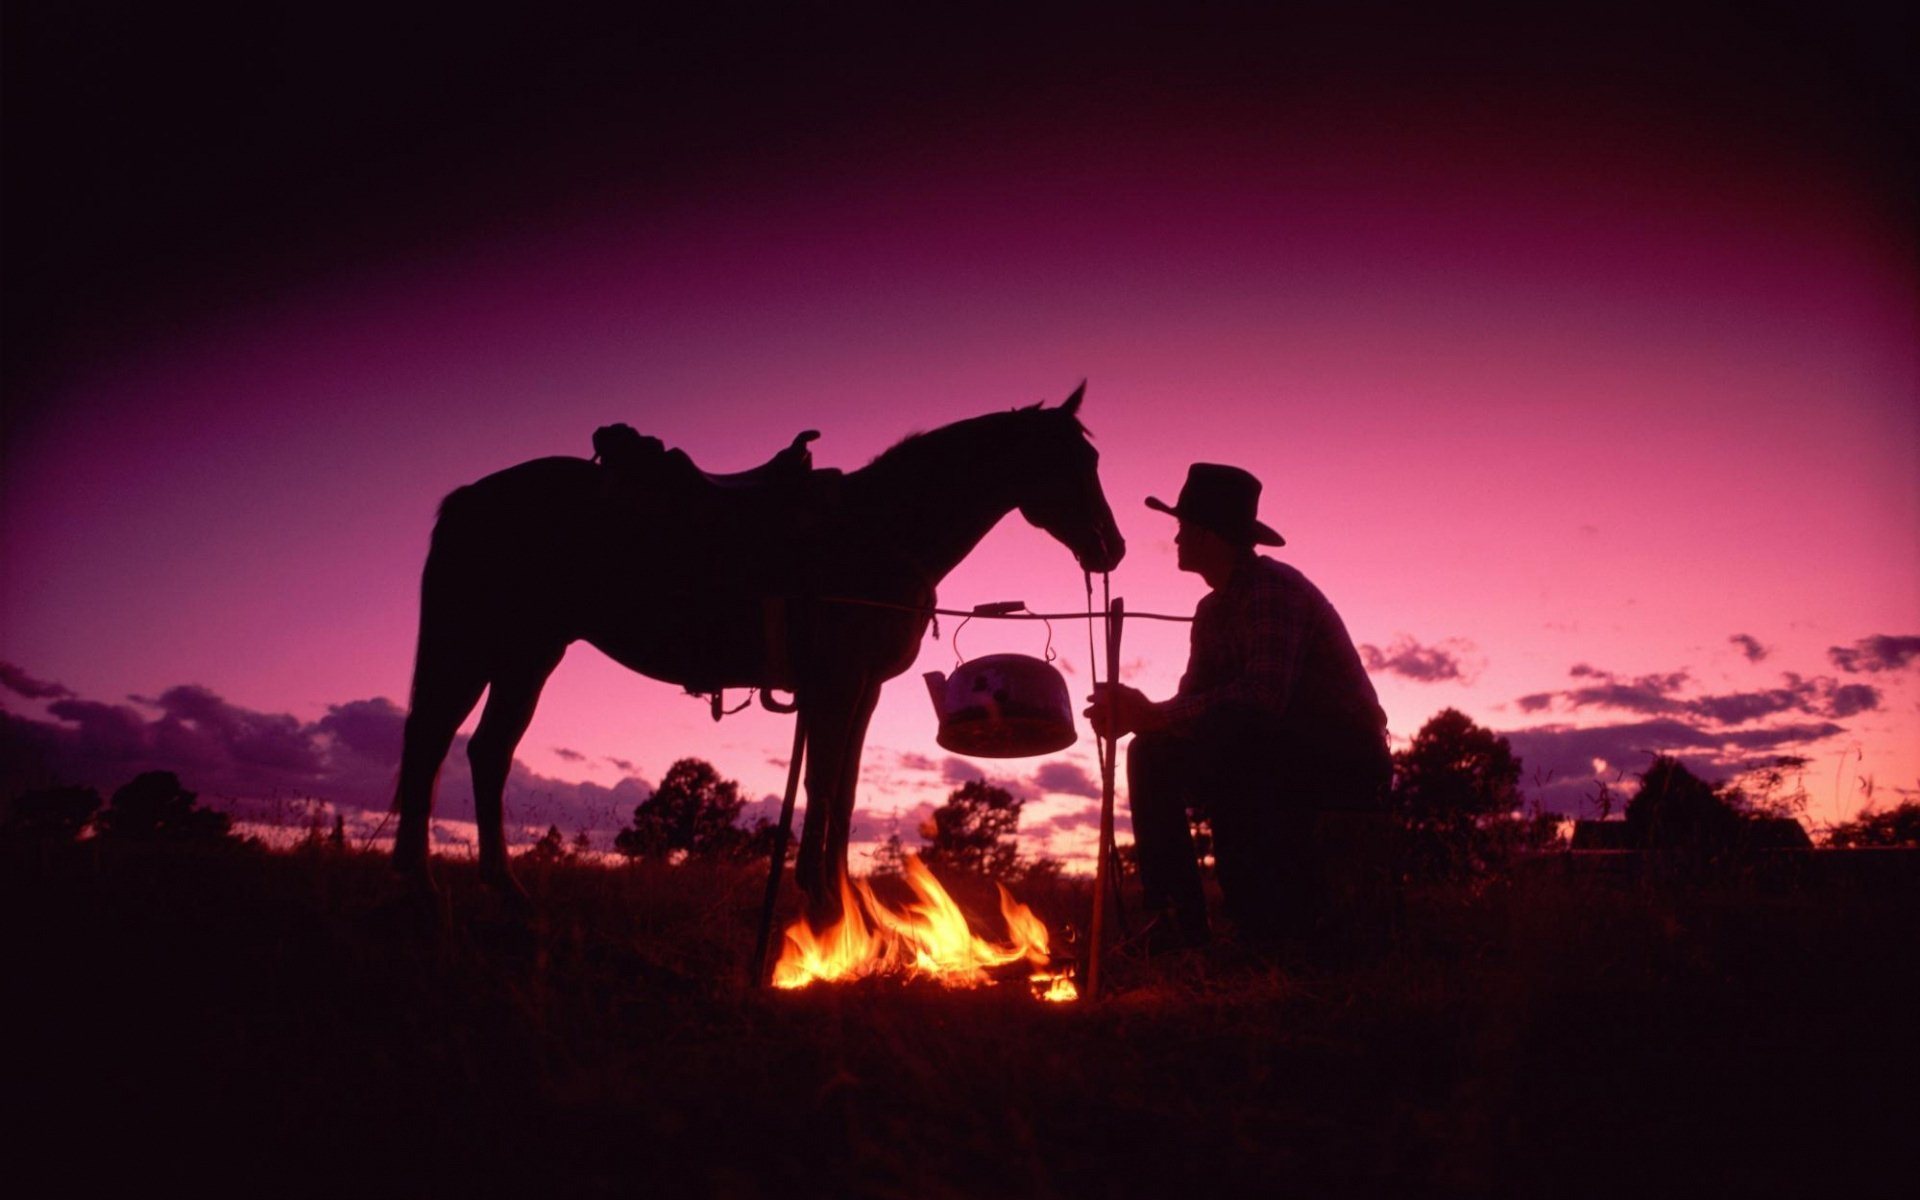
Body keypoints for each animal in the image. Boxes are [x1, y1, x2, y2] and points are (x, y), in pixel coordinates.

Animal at [385, 387, 1121, 902]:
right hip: (474, 649)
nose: (1110, 548)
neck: (879, 528)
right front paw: (822, 903)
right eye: (1077, 460)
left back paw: (504, 890)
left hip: (528, 654)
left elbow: (843, 790)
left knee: (487, 752)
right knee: (430, 744)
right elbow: (823, 785)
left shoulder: (861, 692)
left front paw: (835, 896)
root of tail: (472, 496)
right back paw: (419, 887)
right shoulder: (837, 687)